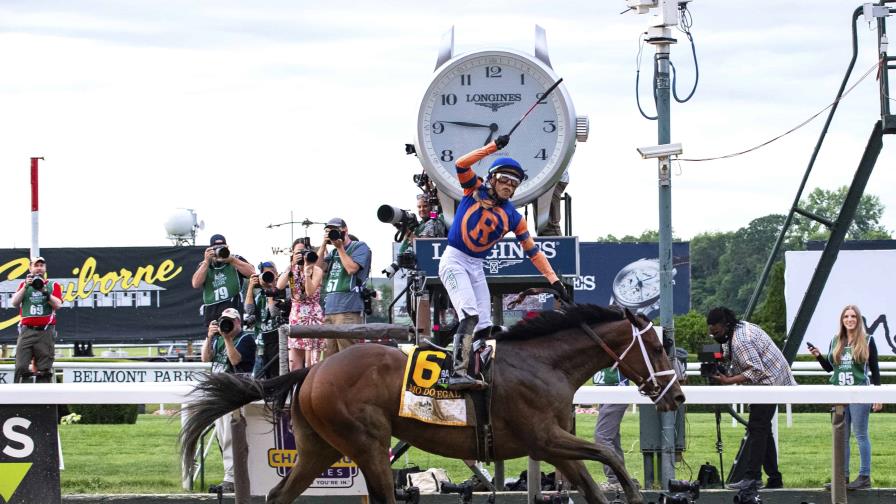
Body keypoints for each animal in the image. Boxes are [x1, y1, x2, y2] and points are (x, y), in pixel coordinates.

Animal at [182, 304, 688, 504]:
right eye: (657, 347)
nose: (679, 395)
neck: (545, 364)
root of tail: (313, 371)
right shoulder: (545, 437)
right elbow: (607, 455)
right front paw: (636, 493)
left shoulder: (552, 446)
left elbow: (592, 484)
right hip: (367, 443)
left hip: (318, 447)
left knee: (279, 494)